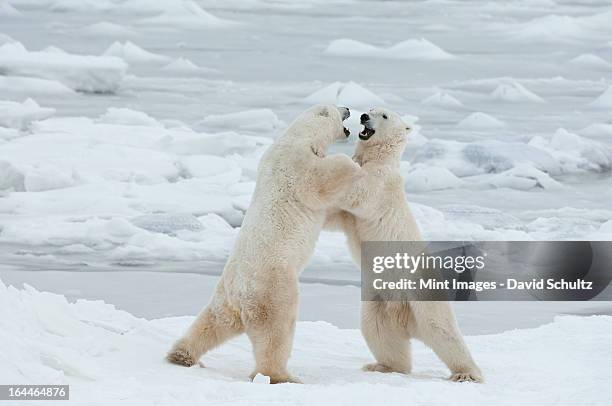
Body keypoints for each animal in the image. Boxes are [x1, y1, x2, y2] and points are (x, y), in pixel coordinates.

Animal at [166, 104, 358, 384]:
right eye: (337, 108)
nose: (348, 108)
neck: (299, 135)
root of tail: (240, 294)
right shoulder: (295, 163)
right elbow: (318, 180)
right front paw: (353, 163)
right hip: (274, 288)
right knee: (276, 331)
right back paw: (282, 376)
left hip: (224, 297)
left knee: (211, 323)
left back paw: (182, 354)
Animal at [326, 106, 482, 382]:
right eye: (371, 109)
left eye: (384, 116)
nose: (364, 116)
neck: (381, 158)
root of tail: (405, 317)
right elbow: (337, 214)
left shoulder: (381, 182)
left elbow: (358, 192)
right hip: (378, 301)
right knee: (378, 332)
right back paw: (383, 366)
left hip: (422, 294)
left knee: (443, 331)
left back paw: (467, 373)